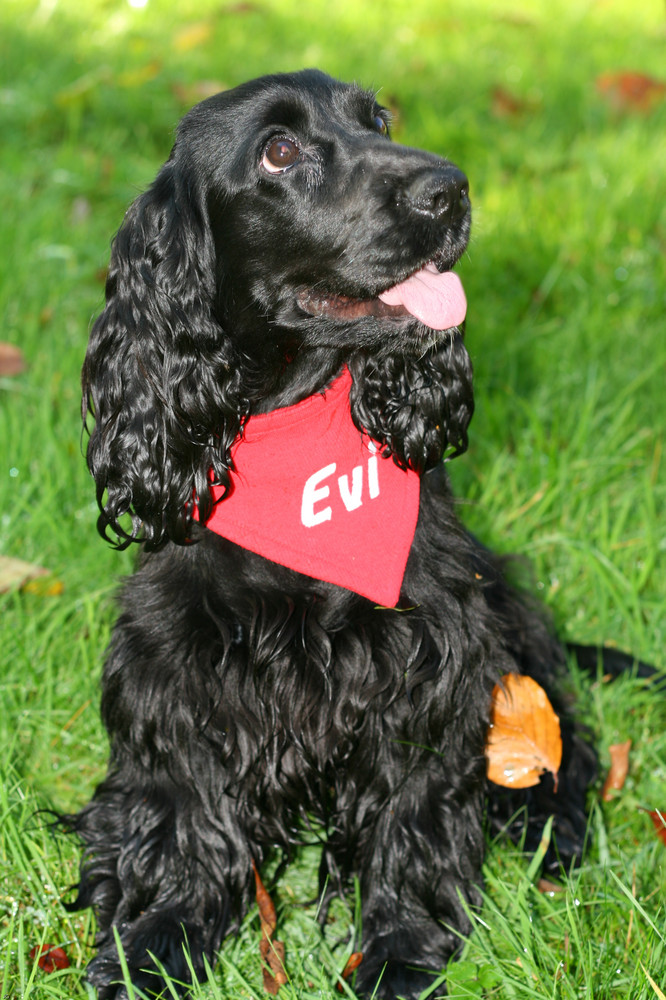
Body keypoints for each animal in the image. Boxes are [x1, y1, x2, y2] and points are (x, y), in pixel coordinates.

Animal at [66, 68, 600, 992]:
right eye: (279, 152)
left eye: (377, 120)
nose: (450, 190)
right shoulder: (172, 666)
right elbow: (184, 813)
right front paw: (157, 942)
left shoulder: (431, 659)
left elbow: (412, 815)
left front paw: (397, 951)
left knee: (560, 729)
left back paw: (551, 821)